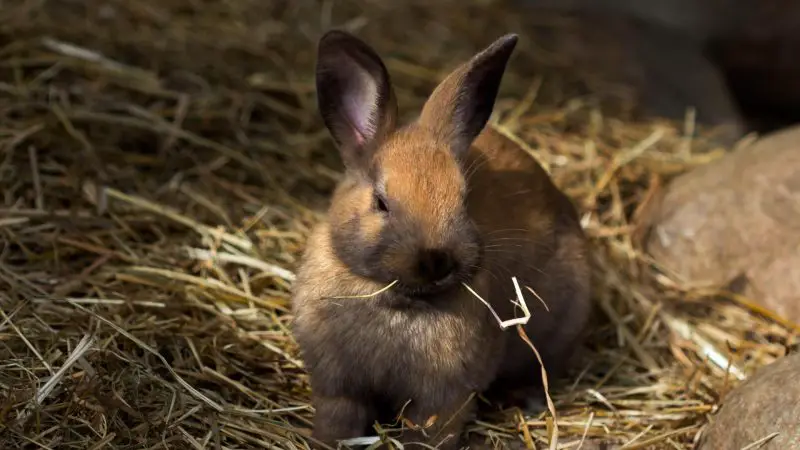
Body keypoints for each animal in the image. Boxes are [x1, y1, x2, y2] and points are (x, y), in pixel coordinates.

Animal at [290, 29, 592, 448]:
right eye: (381, 202)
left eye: (463, 198)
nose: (437, 260)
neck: (401, 303)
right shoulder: (338, 385)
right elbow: (339, 420)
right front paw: (326, 441)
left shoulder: (444, 398)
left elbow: (429, 431)